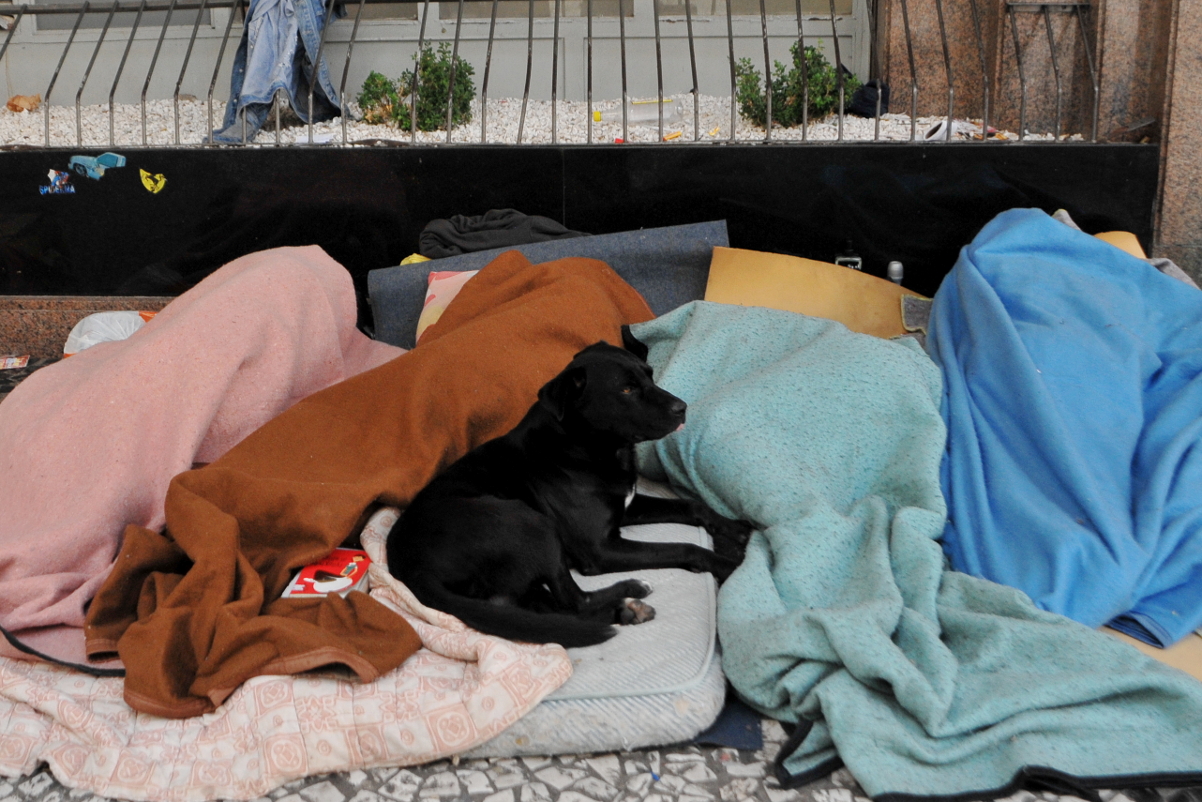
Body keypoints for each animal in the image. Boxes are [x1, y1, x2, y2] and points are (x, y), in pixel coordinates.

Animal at [384, 327, 750, 644]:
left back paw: (624, 612)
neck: (583, 446)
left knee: (550, 612)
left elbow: (691, 505)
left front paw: (734, 528)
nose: (682, 408)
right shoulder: (600, 548)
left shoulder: (626, 507)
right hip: (531, 524)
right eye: (627, 389)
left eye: (649, 373)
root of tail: (411, 569)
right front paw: (730, 565)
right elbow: (682, 547)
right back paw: (630, 593)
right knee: (574, 599)